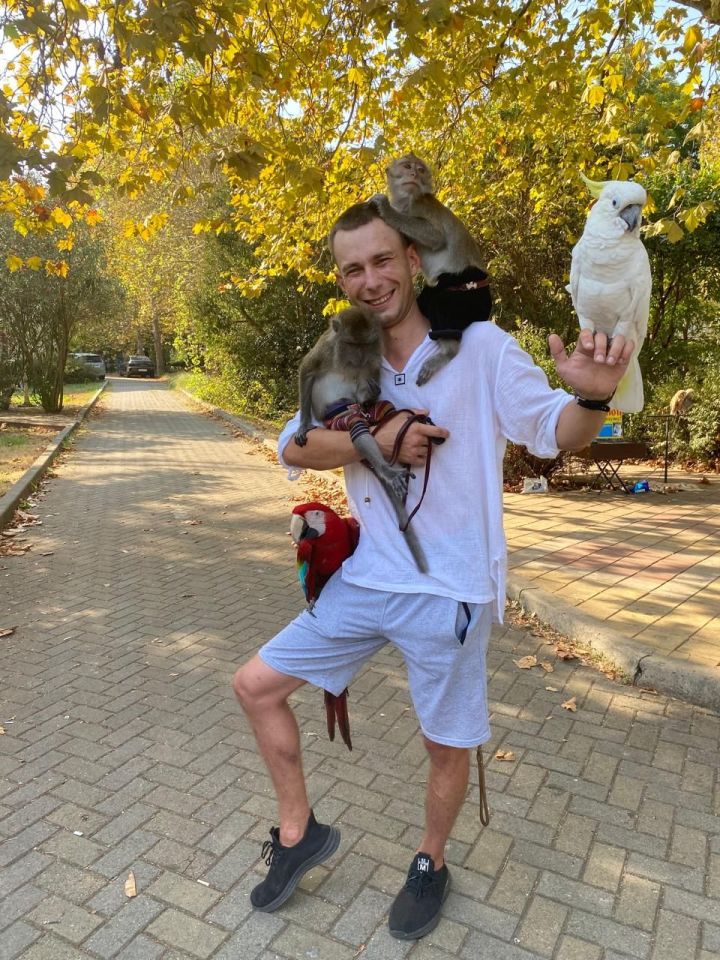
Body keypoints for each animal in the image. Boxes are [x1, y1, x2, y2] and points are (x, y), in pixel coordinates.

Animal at [294, 307, 429, 573]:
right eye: (350, 344)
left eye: (364, 345)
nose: (358, 358)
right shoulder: (326, 348)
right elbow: (307, 370)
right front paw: (303, 424)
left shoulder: (374, 356)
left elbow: (368, 377)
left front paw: (370, 392)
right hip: (341, 417)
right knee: (358, 429)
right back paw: (387, 470)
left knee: (379, 409)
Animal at [370, 153, 492, 386]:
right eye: (407, 166)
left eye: (420, 169)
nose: (414, 174)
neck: (406, 202)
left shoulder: (420, 205)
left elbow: (436, 236)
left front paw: (387, 210)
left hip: (462, 293)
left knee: (443, 309)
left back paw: (447, 352)